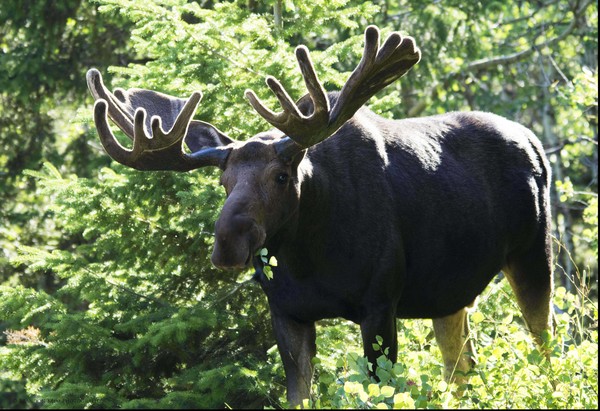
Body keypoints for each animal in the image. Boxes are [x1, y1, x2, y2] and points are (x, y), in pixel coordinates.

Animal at [84, 26, 552, 408]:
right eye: (223, 179)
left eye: (281, 175)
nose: (227, 243)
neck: (310, 258)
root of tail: (535, 142)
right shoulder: (287, 312)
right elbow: (299, 397)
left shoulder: (380, 302)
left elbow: (381, 392)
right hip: (448, 291)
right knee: (461, 368)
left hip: (533, 252)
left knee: (543, 344)